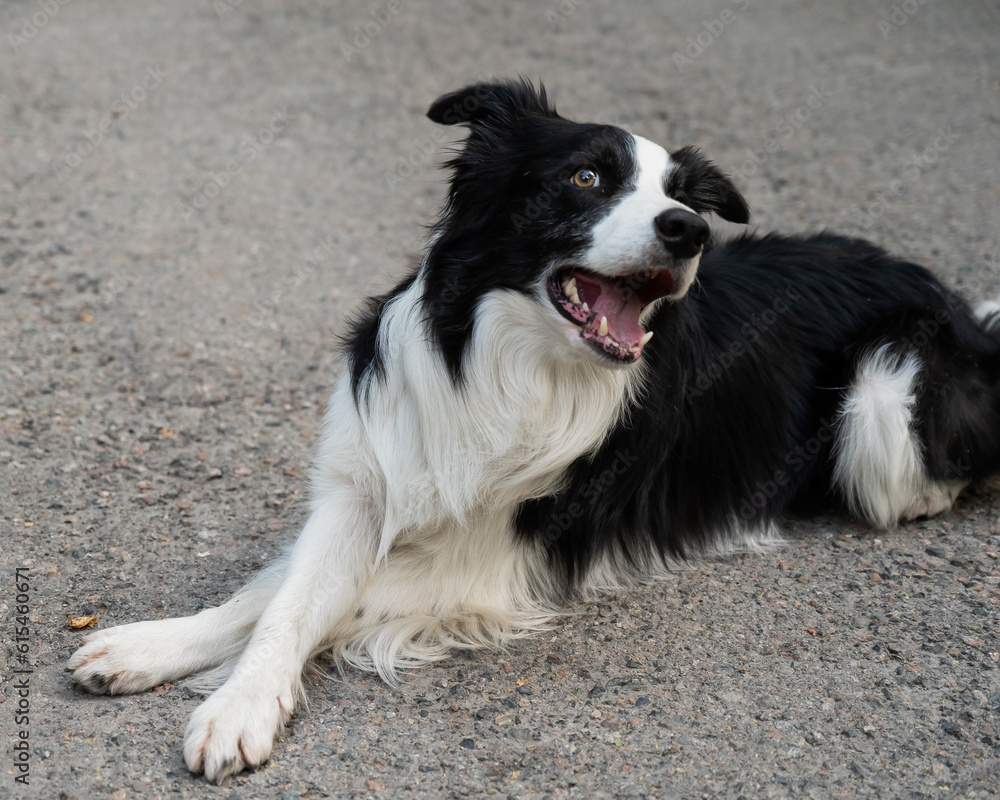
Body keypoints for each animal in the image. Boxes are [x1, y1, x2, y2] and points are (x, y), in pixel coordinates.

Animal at [70, 79, 1000, 780]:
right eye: (586, 178)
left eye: (678, 198)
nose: (689, 230)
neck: (509, 365)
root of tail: (961, 306)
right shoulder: (366, 485)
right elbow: (280, 596)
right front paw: (161, 652)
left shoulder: (494, 561)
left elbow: (326, 598)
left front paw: (232, 704)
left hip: (883, 394)